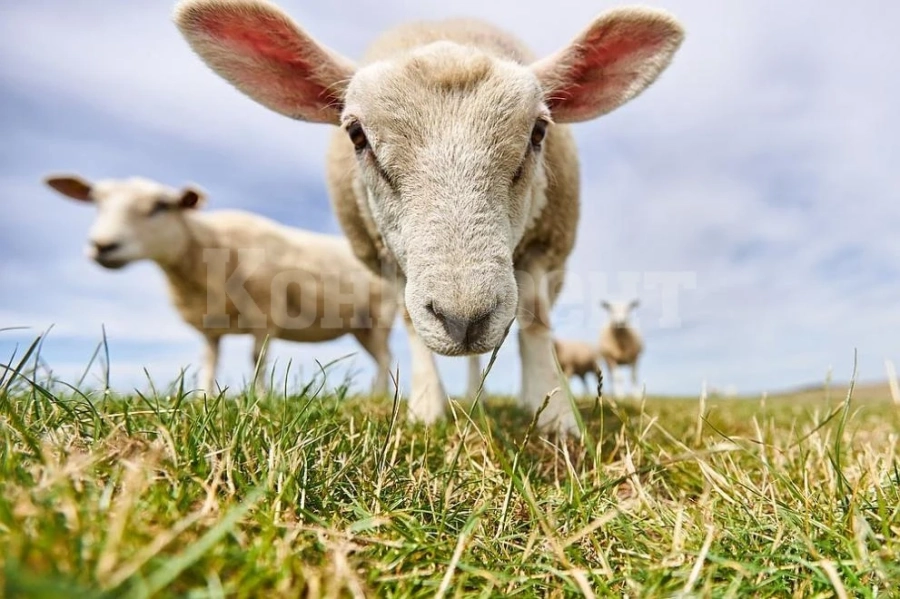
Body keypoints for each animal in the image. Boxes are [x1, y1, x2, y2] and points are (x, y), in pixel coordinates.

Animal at [43, 173, 399, 397]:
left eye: (160, 206)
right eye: (97, 203)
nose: (102, 246)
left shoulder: (266, 314)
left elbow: (256, 360)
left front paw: (260, 398)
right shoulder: (210, 326)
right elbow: (210, 362)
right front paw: (204, 398)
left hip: (378, 318)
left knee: (385, 359)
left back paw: (378, 397)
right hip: (360, 327)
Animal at [174, 0, 684, 435]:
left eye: (539, 131)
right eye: (356, 135)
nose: (465, 320)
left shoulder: (544, 247)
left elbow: (536, 325)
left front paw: (556, 418)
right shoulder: (384, 259)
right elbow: (409, 322)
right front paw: (426, 408)